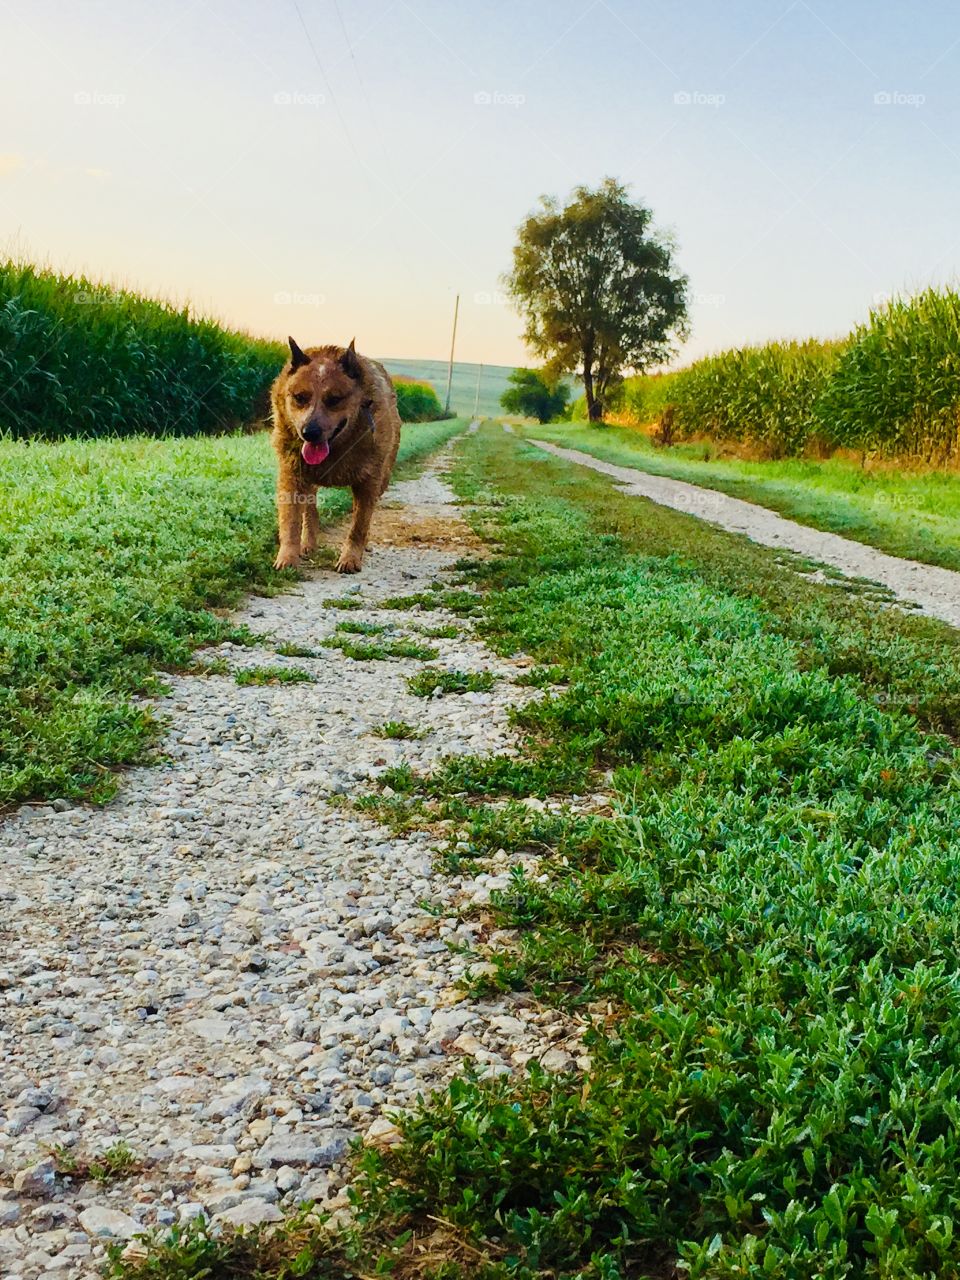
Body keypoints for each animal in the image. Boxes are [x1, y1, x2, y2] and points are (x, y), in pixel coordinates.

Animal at [271, 337, 401, 573]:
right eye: (300, 397)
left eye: (334, 399)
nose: (309, 432)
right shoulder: (292, 473)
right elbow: (290, 520)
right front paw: (287, 558)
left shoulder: (369, 481)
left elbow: (359, 524)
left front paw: (350, 558)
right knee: (310, 508)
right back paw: (308, 543)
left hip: (384, 476)